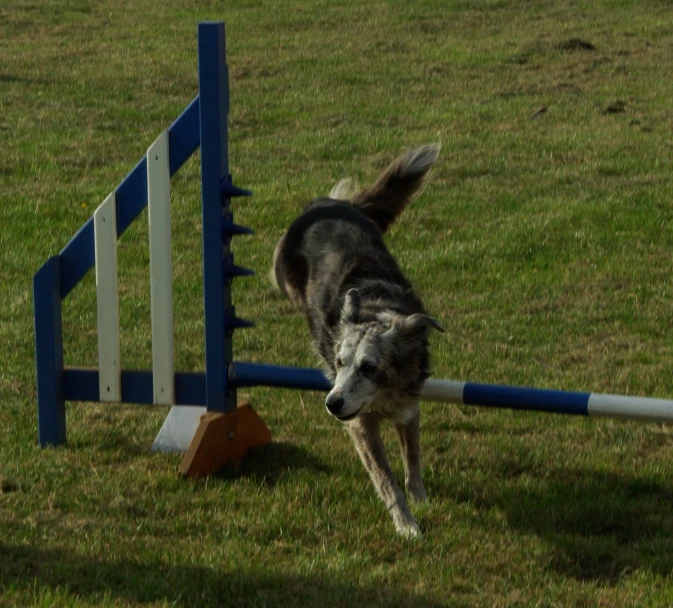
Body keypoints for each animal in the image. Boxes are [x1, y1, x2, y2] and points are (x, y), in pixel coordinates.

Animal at [270, 144, 444, 536]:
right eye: (339, 363)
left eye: (369, 367)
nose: (331, 403)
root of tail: (325, 203)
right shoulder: (359, 425)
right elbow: (385, 477)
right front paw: (407, 525)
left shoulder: (408, 405)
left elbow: (412, 456)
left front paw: (420, 499)